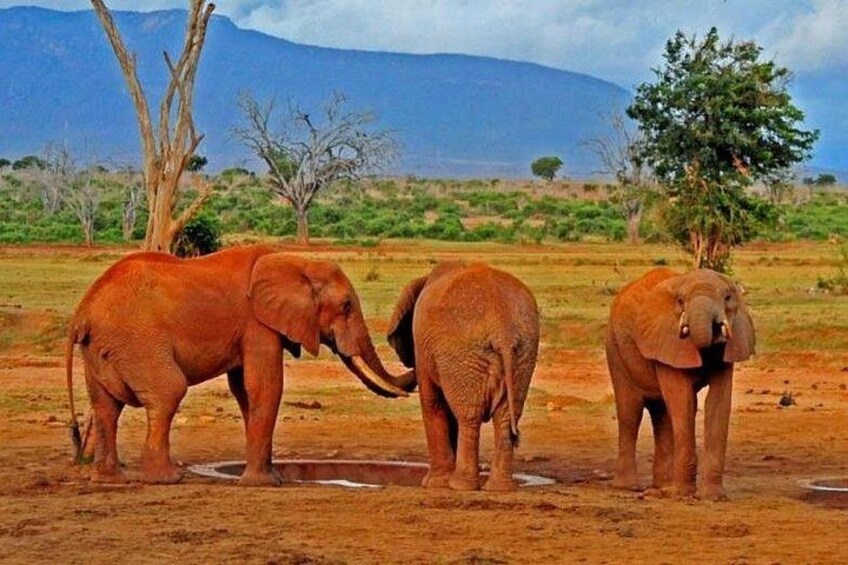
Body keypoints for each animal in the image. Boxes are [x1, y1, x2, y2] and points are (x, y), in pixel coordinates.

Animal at [64, 245, 415, 486]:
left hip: (99, 349)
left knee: (106, 406)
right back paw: (166, 479)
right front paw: (264, 484)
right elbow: (265, 385)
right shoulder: (257, 322)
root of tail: (83, 311)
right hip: (138, 341)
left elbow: (245, 391)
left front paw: (271, 477)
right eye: (345, 306)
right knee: (168, 392)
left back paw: (109, 479)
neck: (293, 260)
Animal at [387, 261, 539, 492]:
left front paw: (434, 484)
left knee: (469, 416)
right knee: (504, 418)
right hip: (521, 353)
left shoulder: (424, 348)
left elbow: (432, 402)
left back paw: (460, 485)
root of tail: (502, 328)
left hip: (463, 352)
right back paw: (500, 487)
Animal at [605, 267, 755, 500]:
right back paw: (628, 487)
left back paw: (662, 487)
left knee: (662, 413)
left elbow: (717, 403)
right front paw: (683, 494)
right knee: (630, 411)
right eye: (681, 301)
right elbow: (683, 400)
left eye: (728, 298)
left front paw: (712, 497)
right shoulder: (667, 340)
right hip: (615, 346)